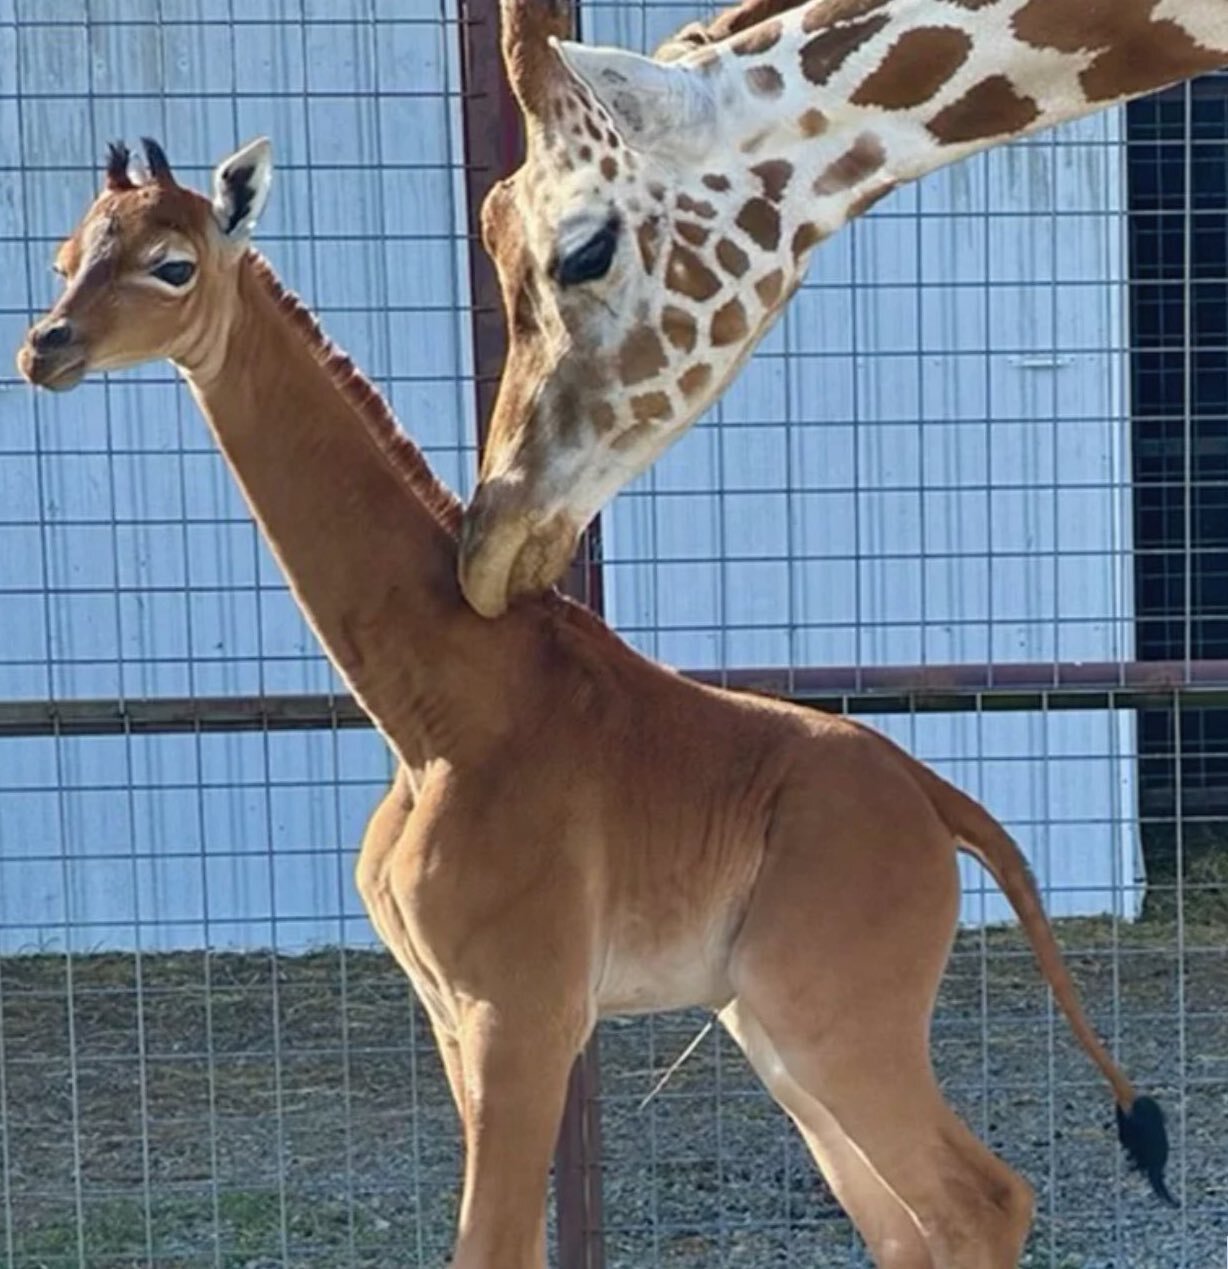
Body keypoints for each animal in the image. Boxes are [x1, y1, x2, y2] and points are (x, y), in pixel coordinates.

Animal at [16, 138, 1172, 1269]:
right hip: (774, 1028)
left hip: (830, 1015)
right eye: (65, 254)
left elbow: (490, 1244)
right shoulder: (455, 1013)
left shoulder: (521, 1009)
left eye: (173, 264)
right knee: (909, 1225)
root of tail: (940, 803)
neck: (437, 710)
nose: (45, 347)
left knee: (980, 1200)